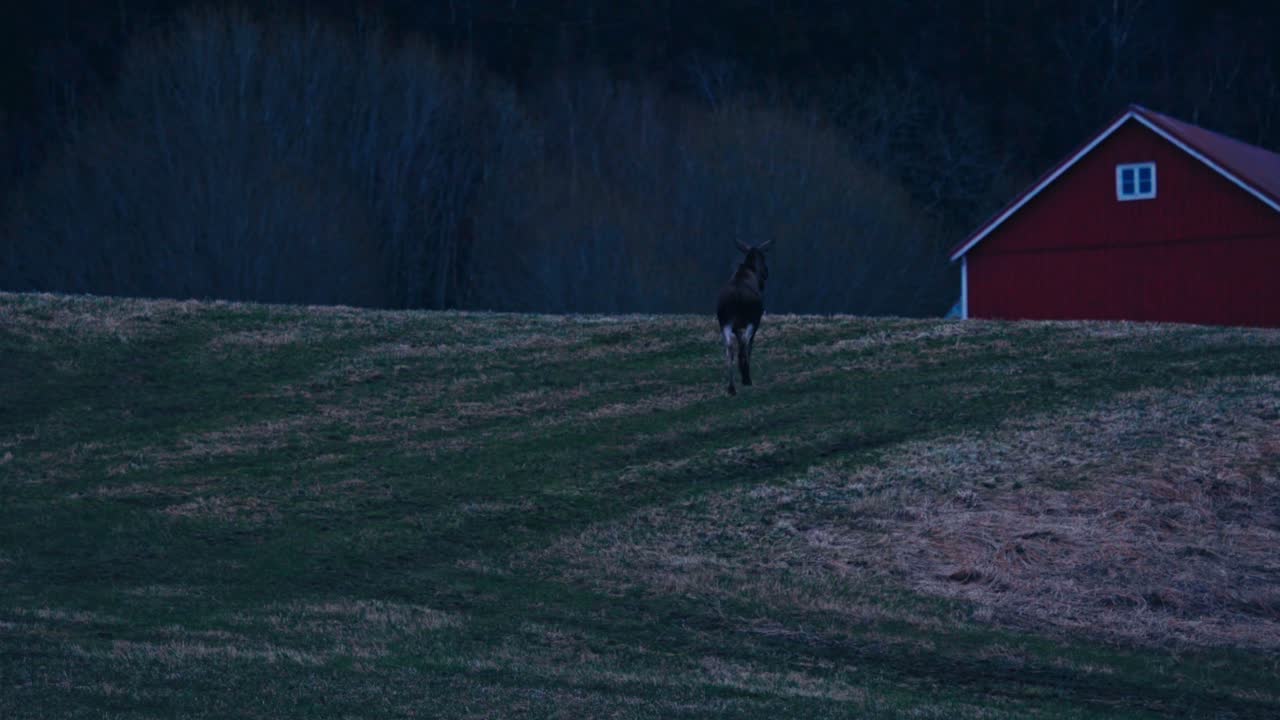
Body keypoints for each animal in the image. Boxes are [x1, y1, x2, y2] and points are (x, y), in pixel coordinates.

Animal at [716, 239, 773, 395]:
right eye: (763, 257)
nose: (766, 273)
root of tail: (736, 297)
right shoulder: (756, 321)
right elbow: (748, 347)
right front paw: (746, 377)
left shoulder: (736, 327)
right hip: (751, 321)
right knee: (744, 346)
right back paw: (745, 380)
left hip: (725, 322)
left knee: (730, 348)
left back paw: (731, 387)